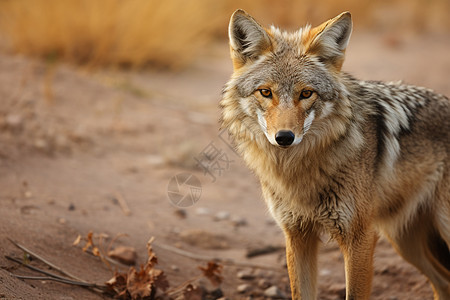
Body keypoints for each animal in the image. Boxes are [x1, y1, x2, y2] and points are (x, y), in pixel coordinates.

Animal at [221, 9, 450, 300]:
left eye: (306, 93)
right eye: (266, 92)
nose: (284, 137)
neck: (299, 172)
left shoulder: (359, 237)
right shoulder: (297, 235)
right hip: (404, 241)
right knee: (443, 282)